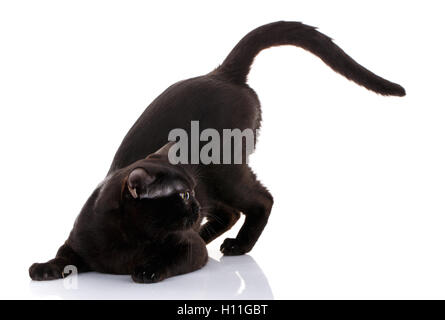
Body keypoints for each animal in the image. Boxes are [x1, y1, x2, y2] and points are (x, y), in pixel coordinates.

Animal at [26, 21, 402, 284]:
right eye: (180, 196)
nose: (193, 205)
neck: (128, 240)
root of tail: (222, 73)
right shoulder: (77, 242)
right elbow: (63, 256)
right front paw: (43, 269)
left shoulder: (187, 249)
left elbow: (171, 259)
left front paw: (147, 270)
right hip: (219, 183)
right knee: (230, 213)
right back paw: (212, 236)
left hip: (227, 174)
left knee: (262, 200)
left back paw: (237, 244)